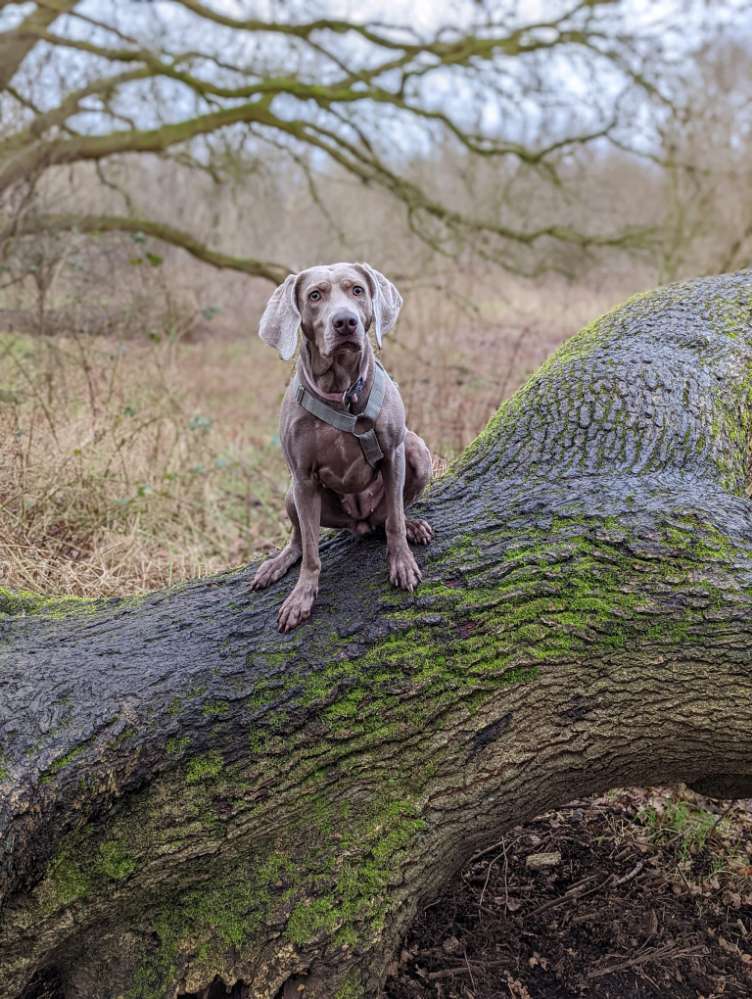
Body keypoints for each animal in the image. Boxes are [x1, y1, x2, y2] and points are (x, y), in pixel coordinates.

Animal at [250, 262, 432, 628]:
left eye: (357, 290)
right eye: (315, 296)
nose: (345, 322)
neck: (341, 391)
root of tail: (360, 521)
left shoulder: (393, 454)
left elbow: (394, 520)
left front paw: (402, 563)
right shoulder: (303, 479)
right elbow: (311, 550)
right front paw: (302, 596)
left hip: (418, 452)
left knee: (389, 515)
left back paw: (413, 525)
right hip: (291, 492)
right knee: (298, 539)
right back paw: (277, 563)